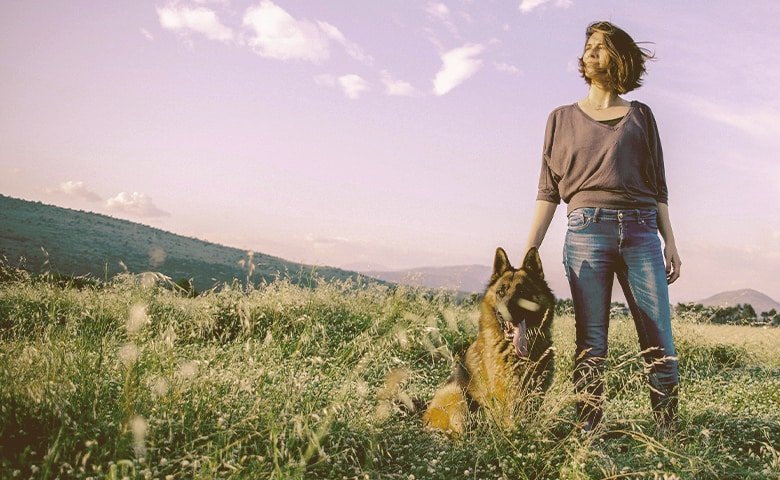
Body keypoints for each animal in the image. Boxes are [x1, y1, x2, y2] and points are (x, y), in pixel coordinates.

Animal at [424, 248, 556, 436]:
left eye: (522, 292)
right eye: (501, 292)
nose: (504, 311)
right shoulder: (506, 395)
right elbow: (510, 421)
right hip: (456, 394)